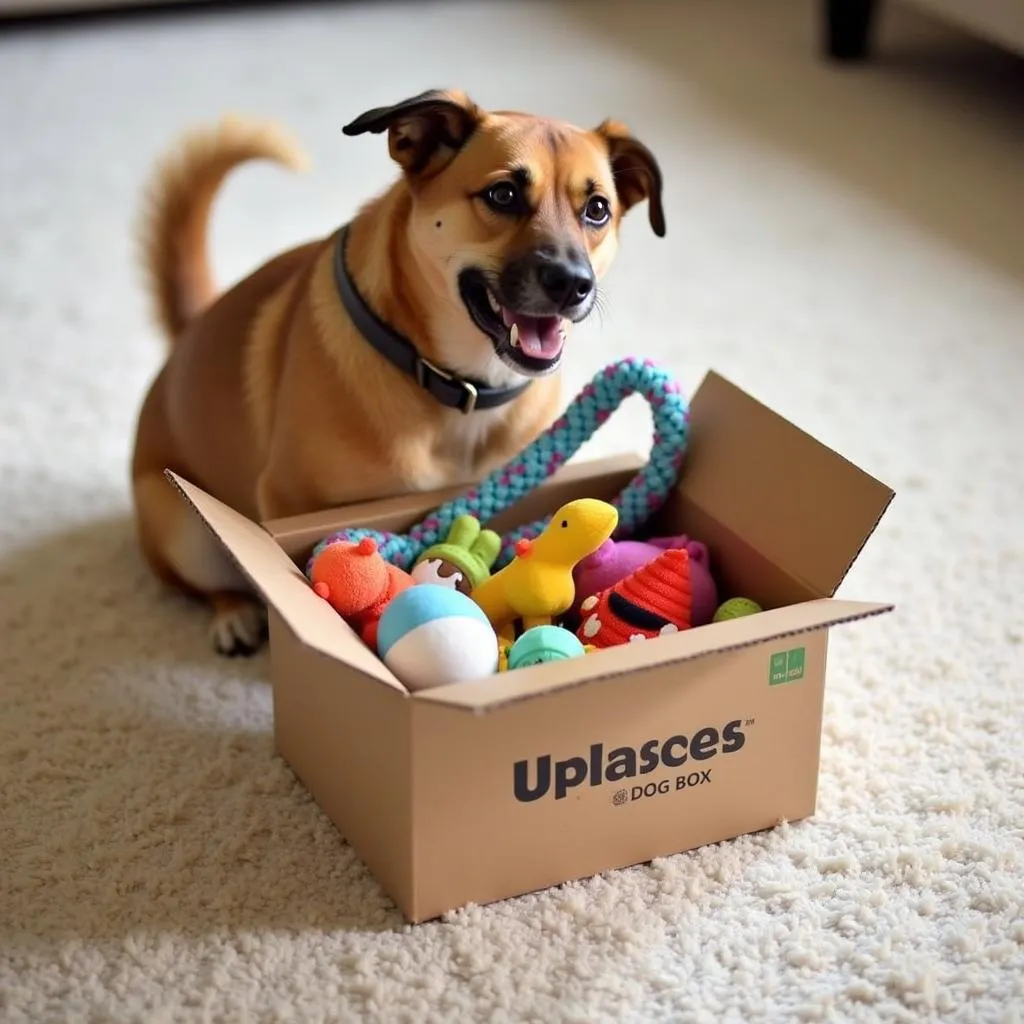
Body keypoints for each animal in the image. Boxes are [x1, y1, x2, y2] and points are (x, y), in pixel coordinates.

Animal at [130, 86, 663, 647]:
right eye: (503, 195)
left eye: (597, 209)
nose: (572, 283)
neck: (464, 386)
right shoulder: (284, 501)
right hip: (182, 529)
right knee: (204, 581)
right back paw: (232, 612)